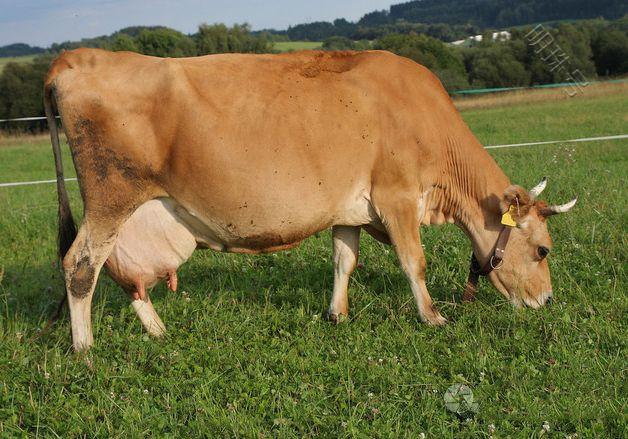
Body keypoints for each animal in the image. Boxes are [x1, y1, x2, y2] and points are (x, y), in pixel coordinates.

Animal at [43, 49, 576, 350]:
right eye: (543, 249)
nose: (547, 301)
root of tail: (77, 56)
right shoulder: (397, 196)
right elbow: (414, 261)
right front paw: (433, 317)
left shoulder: (349, 208)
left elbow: (344, 260)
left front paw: (337, 314)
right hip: (110, 196)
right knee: (80, 265)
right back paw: (84, 349)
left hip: (130, 209)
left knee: (121, 272)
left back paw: (157, 331)